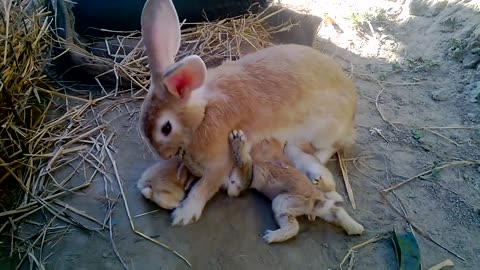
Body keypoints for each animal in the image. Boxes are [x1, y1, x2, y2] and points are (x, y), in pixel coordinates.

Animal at [139, 0, 356, 226]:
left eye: (166, 128)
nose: (162, 155)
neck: (203, 113)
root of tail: (352, 111)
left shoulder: (220, 161)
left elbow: (205, 186)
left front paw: (184, 214)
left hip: (324, 131)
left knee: (327, 149)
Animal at [227, 130, 362, 244]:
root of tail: (315, 199)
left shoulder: (249, 177)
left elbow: (242, 162)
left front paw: (238, 141)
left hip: (282, 201)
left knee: (294, 227)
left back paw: (272, 236)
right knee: (336, 210)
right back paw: (354, 227)